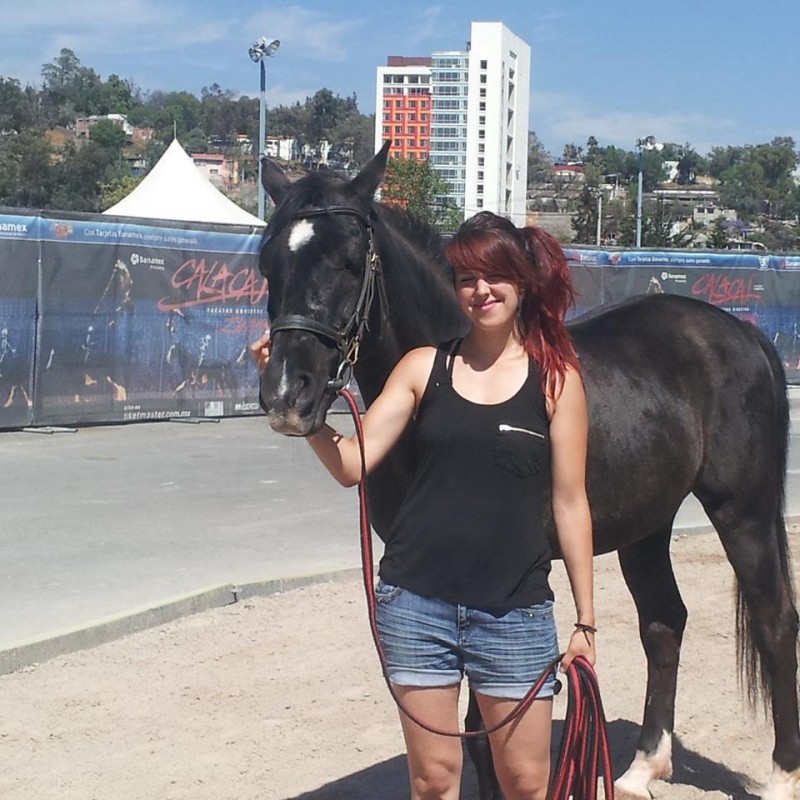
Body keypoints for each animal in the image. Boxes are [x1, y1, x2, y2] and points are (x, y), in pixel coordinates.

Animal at [256, 144, 800, 800]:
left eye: (348, 262)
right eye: (267, 263)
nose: (288, 394)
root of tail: (741, 332)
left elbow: (488, 730)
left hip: (742, 512)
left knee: (775, 624)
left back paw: (781, 775)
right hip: (647, 526)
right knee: (665, 622)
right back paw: (643, 766)